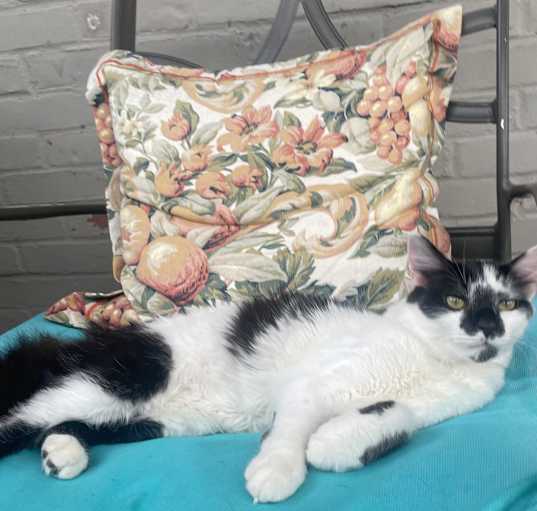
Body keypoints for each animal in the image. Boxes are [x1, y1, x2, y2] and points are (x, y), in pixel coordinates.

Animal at [1, 237, 536, 504]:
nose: (488, 327)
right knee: (19, 421)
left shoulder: (430, 408)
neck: (432, 361)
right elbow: (292, 428)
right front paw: (277, 469)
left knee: (60, 425)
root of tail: (104, 338)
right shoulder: (311, 383)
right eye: (456, 301)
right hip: (128, 378)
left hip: (152, 419)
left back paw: (62, 453)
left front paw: (336, 443)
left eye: (508, 304)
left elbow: (394, 415)